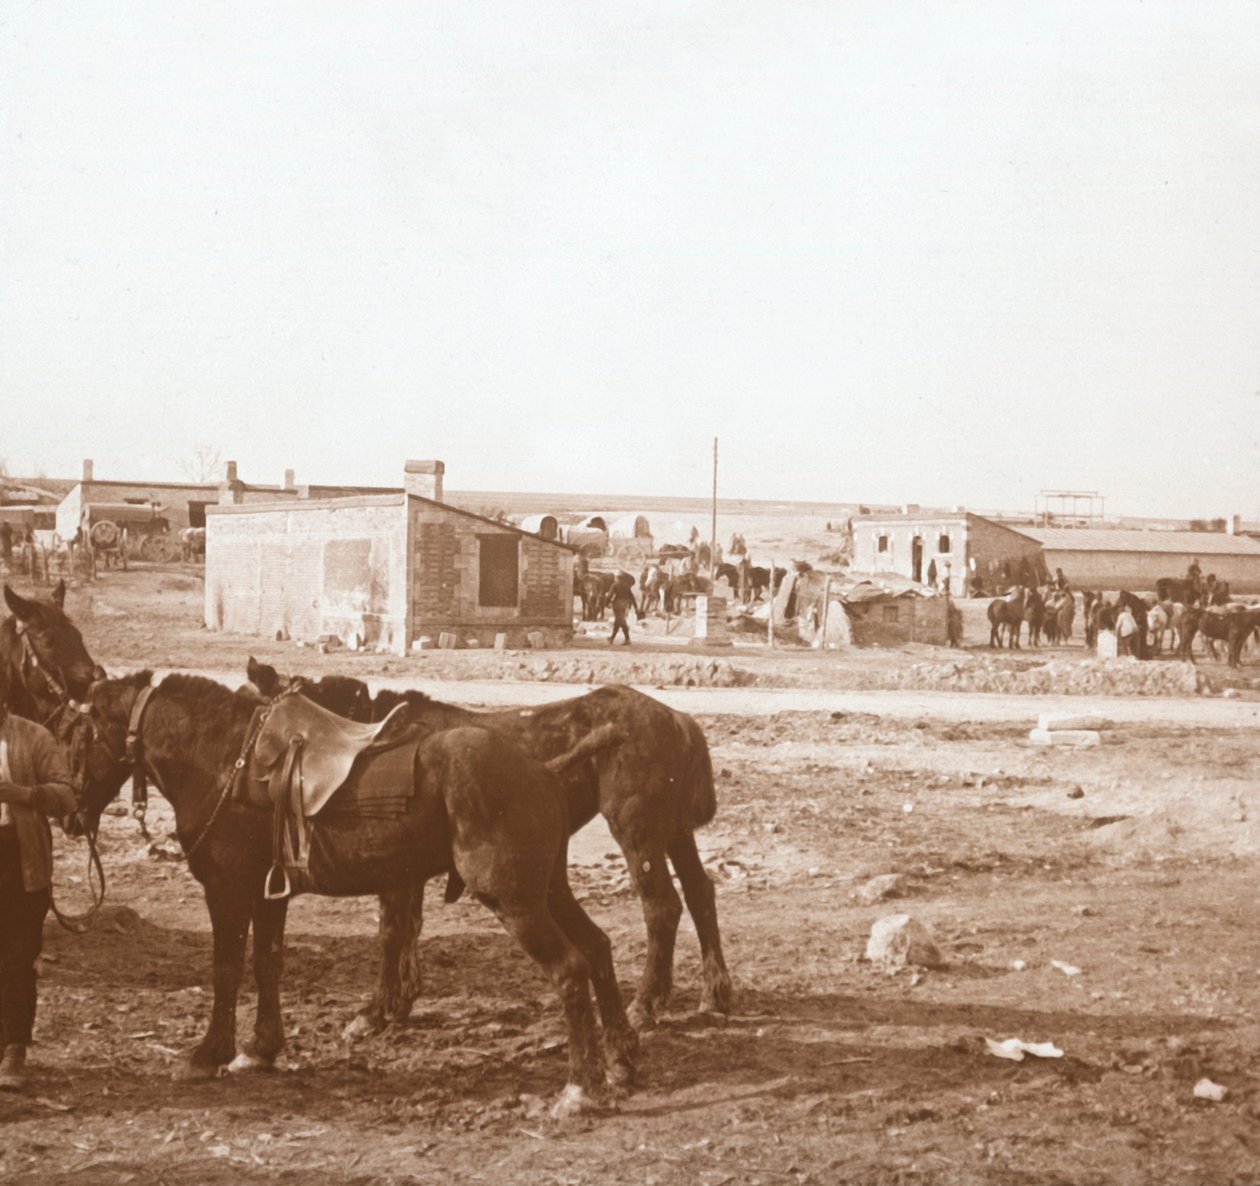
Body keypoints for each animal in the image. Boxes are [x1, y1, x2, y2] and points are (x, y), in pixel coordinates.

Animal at [67, 670, 635, 1114]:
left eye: (73, 734)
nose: (69, 814)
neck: (226, 761)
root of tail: (542, 767)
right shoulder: (269, 895)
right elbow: (268, 964)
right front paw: (262, 1048)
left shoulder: (228, 891)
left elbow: (226, 969)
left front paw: (209, 1054)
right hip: (547, 892)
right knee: (596, 948)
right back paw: (621, 1060)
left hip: (514, 901)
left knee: (569, 969)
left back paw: (580, 1089)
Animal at [246, 655, 735, 1028]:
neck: (361, 746)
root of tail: (677, 718)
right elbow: (407, 929)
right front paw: (400, 1001)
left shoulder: (396, 871)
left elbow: (391, 931)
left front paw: (377, 1010)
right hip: (674, 832)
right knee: (700, 893)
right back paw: (715, 992)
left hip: (638, 831)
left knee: (662, 907)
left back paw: (647, 1002)